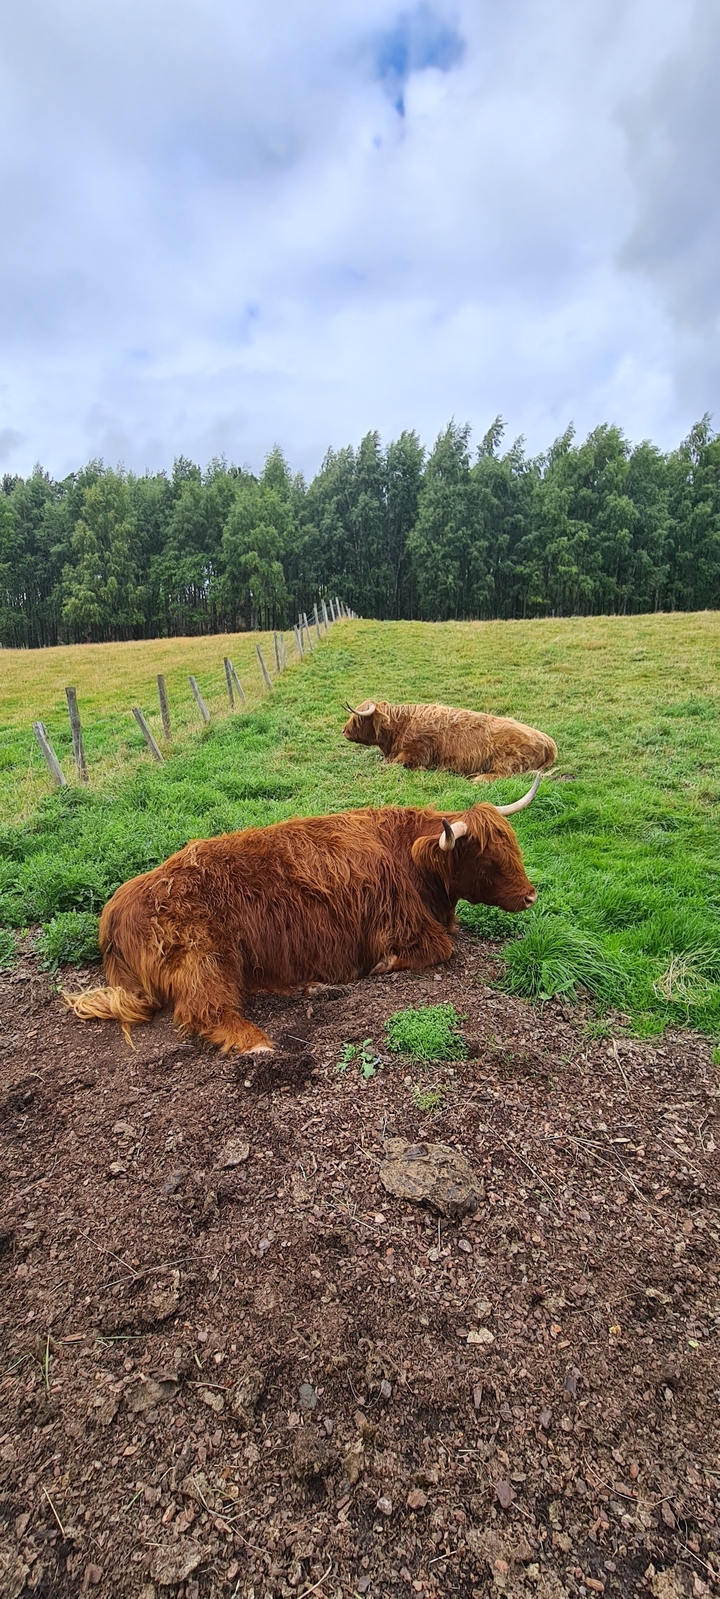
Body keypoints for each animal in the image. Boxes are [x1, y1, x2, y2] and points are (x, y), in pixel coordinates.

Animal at [63, 785, 540, 1056]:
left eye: (513, 847)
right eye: (488, 860)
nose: (531, 895)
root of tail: (115, 907)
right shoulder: (400, 926)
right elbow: (440, 947)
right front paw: (383, 965)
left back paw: (313, 987)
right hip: (204, 955)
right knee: (204, 1008)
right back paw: (256, 1043)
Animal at [342, 700, 557, 780]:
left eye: (358, 718)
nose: (343, 730)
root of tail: (548, 741)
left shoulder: (415, 752)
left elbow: (392, 764)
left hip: (507, 759)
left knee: (504, 775)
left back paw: (477, 778)